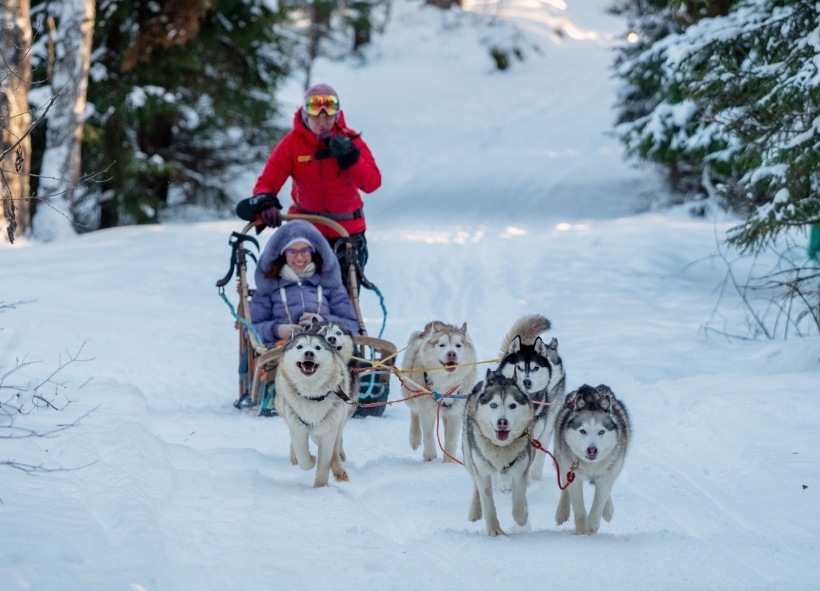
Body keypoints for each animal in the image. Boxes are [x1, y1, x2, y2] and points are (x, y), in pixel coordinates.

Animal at [276, 332, 352, 490]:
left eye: (317, 347)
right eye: (300, 346)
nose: (309, 353)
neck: (312, 395)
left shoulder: (328, 431)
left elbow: (324, 462)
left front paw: (320, 488)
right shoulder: (298, 428)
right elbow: (303, 459)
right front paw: (311, 459)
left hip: (339, 420)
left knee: (336, 447)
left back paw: (338, 469)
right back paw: (294, 457)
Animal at [402, 324, 478, 462]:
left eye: (458, 345)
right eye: (442, 345)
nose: (451, 353)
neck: (446, 381)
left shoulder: (456, 412)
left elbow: (451, 439)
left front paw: (449, 460)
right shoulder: (426, 410)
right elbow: (428, 435)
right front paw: (430, 456)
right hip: (410, 392)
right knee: (414, 411)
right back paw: (414, 437)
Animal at [462, 372, 540, 540]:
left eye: (512, 405)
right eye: (493, 405)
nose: (502, 421)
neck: (501, 448)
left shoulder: (520, 470)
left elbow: (519, 504)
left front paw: (523, 517)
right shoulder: (482, 471)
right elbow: (487, 502)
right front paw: (494, 530)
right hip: (469, 458)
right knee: (475, 485)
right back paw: (475, 510)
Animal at [556, 384, 632, 536]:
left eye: (601, 431)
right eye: (582, 431)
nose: (592, 450)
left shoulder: (606, 478)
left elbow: (598, 505)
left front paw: (592, 526)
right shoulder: (573, 476)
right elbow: (579, 509)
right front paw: (582, 532)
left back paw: (608, 511)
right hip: (559, 457)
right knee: (564, 486)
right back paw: (562, 512)